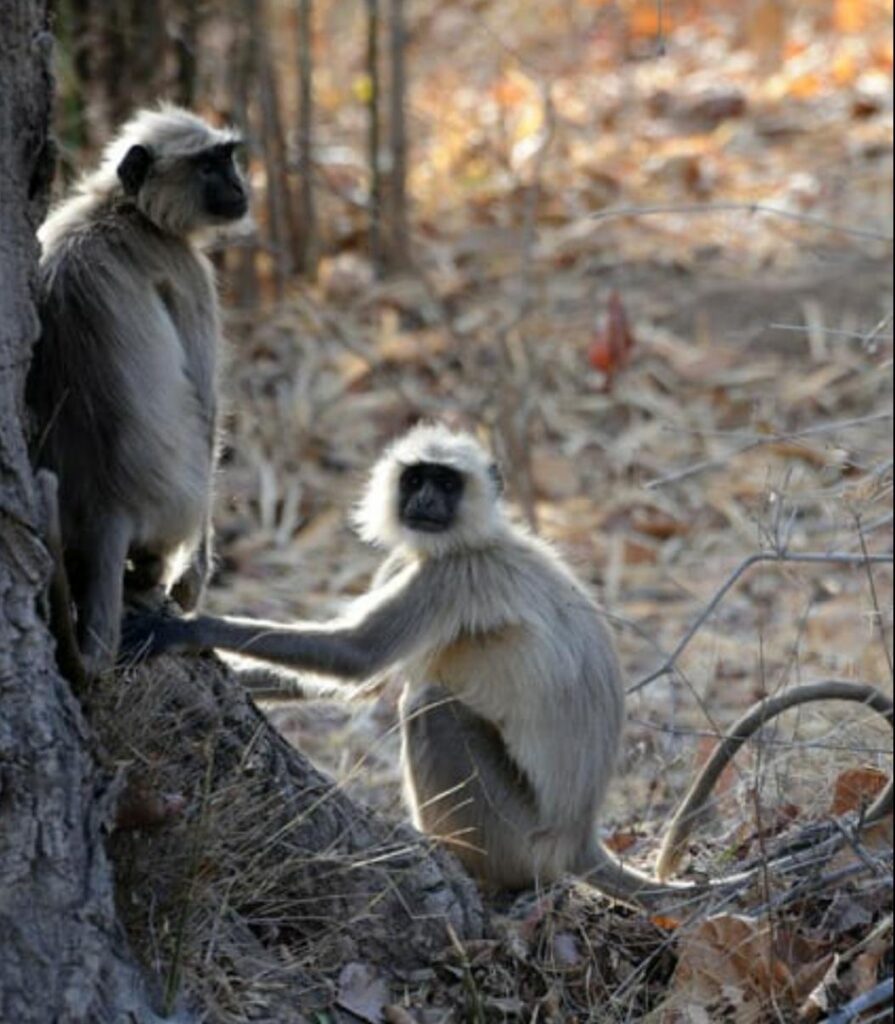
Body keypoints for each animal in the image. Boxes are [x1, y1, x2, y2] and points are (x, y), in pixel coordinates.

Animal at [30, 108, 247, 675]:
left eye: (229, 158)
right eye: (210, 166)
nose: (240, 186)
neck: (124, 209)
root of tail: (110, 503)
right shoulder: (188, 270)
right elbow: (207, 405)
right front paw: (196, 577)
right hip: (179, 502)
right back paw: (153, 574)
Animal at [127, 423, 892, 913]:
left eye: (445, 482)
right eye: (416, 479)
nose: (424, 502)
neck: (473, 536)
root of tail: (580, 837)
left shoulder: (451, 577)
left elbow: (357, 659)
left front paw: (182, 626)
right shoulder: (412, 561)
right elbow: (356, 677)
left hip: (518, 836)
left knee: (429, 706)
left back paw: (462, 865)